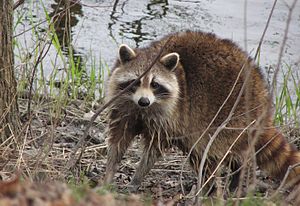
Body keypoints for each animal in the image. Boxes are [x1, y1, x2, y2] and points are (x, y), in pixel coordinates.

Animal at [103, 31, 300, 193]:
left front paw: (137, 177)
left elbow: (153, 150)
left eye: (155, 84)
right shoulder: (124, 108)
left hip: (231, 118)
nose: (144, 101)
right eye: (136, 81)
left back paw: (214, 184)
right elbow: (118, 140)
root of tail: (263, 102)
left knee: (206, 150)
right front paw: (110, 171)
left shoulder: (169, 116)